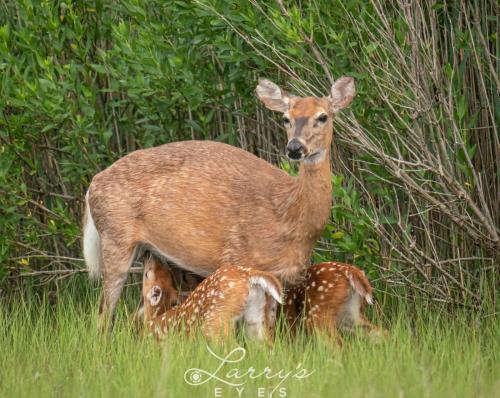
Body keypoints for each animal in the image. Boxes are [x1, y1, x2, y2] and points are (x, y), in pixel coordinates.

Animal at [82, 75, 356, 330]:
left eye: (323, 117)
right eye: (286, 119)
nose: (295, 147)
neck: (288, 216)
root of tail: (92, 185)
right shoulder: (237, 257)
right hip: (115, 237)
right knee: (103, 314)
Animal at [141, 255, 284, 342]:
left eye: (147, 274)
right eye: (169, 274)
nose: (152, 256)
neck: (154, 318)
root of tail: (248, 274)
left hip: (216, 319)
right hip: (255, 316)